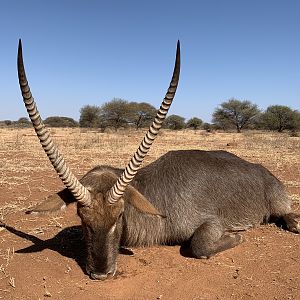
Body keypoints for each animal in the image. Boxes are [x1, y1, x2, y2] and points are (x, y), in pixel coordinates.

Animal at [17, 40, 300, 282]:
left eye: (120, 215)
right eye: (81, 217)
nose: (100, 274)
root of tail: (263, 171)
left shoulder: (211, 222)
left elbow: (198, 246)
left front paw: (236, 237)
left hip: (278, 205)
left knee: (288, 216)